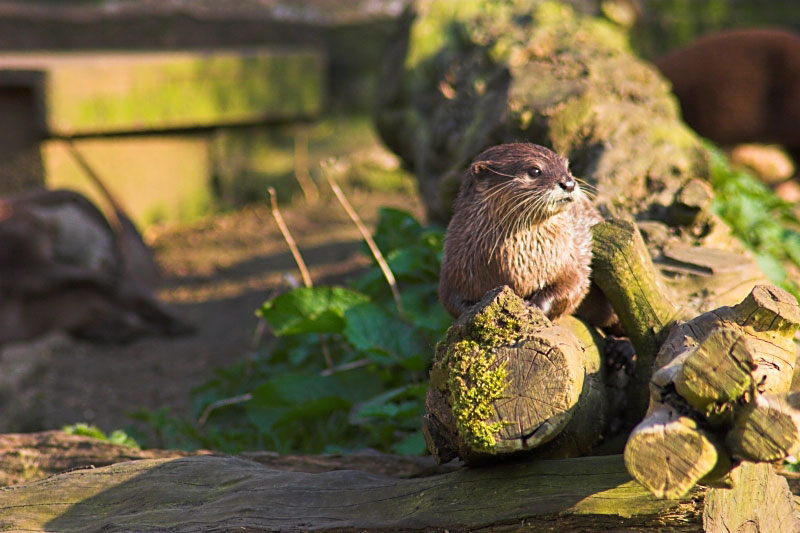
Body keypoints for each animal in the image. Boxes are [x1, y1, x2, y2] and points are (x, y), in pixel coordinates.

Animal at [438, 142, 608, 324]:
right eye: (535, 170)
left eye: (567, 168)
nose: (569, 184)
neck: (517, 266)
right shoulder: (455, 266)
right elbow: (451, 301)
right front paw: (469, 310)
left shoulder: (569, 260)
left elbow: (572, 286)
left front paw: (534, 305)